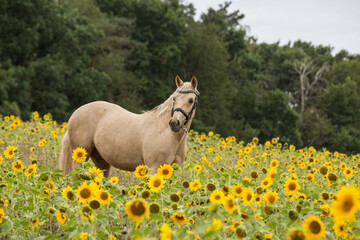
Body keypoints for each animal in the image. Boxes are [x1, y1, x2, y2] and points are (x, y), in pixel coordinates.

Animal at [59, 76, 200, 177]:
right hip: (80, 158)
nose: (174, 123)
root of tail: (76, 112)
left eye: (191, 100)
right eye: (174, 98)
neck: (167, 133)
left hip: (102, 161)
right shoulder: (154, 168)